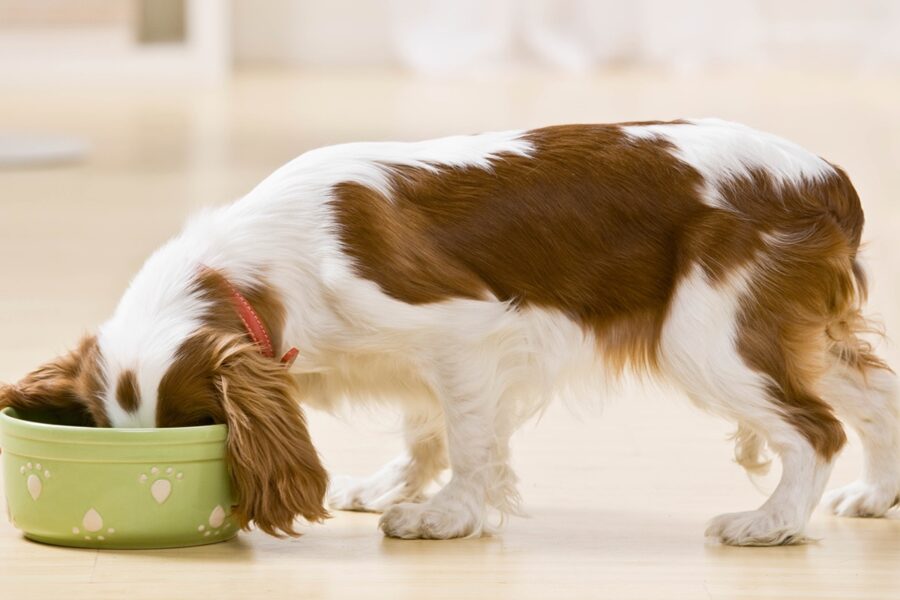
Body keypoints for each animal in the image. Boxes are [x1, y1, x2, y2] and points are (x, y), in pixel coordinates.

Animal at [1, 118, 900, 544]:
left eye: (195, 427)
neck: (261, 266)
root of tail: (826, 179)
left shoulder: (463, 334)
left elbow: (468, 438)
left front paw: (445, 516)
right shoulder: (419, 361)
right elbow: (425, 427)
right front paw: (394, 485)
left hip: (709, 336)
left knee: (813, 429)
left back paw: (769, 525)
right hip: (789, 329)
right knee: (874, 397)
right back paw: (875, 497)